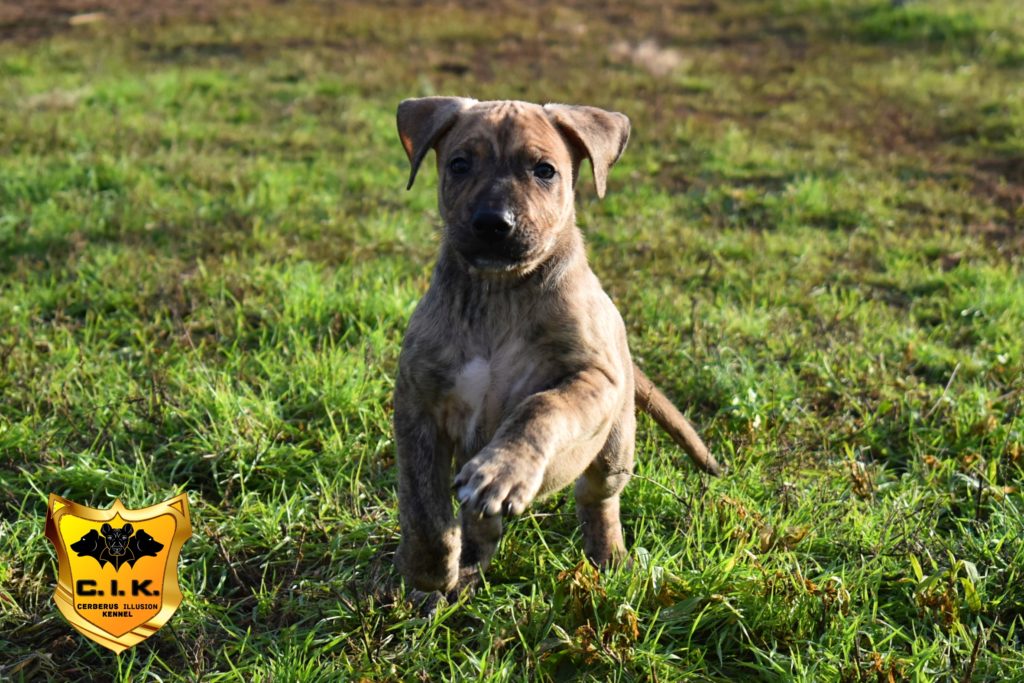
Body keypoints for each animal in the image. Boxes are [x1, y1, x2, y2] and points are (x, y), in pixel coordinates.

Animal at [391, 96, 720, 598]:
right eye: (459, 164)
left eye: (545, 171)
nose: (493, 223)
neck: (499, 292)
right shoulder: (417, 405)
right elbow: (422, 504)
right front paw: (429, 574)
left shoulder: (592, 378)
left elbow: (542, 408)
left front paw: (504, 470)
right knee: (477, 518)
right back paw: (472, 557)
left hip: (616, 444)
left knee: (598, 499)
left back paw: (609, 557)